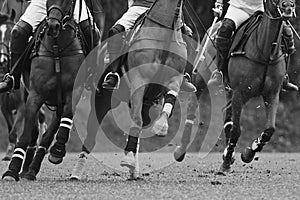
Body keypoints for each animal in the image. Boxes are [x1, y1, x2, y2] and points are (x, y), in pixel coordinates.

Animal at [2, 0, 84, 181]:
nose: (53, 25)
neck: (57, 47)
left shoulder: (71, 93)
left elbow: (62, 123)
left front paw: (58, 150)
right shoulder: (34, 95)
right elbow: (25, 134)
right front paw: (12, 170)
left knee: (48, 133)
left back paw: (34, 167)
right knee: (34, 132)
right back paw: (26, 169)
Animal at [218, 0, 296, 173]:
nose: (288, 8)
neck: (264, 52)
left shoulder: (272, 94)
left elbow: (270, 129)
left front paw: (249, 152)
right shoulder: (239, 94)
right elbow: (236, 130)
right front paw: (226, 163)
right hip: (228, 89)